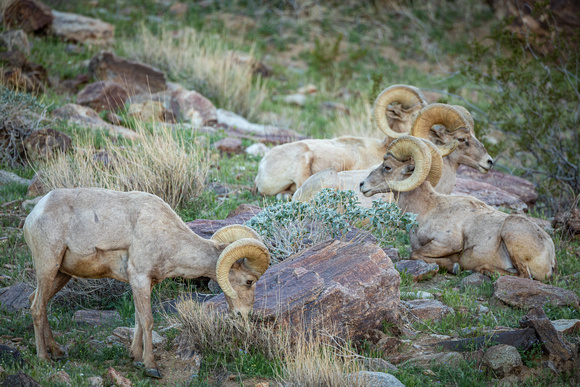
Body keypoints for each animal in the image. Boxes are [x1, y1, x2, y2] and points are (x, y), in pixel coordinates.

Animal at [21, 189, 268, 380]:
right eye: (249, 281)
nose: (243, 315)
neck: (169, 239)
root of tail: (34, 214)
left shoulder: (144, 283)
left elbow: (139, 319)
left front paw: (136, 357)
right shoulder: (139, 278)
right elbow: (148, 320)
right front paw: (151, 367)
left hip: (61, 274)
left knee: (38, 302)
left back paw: (57, 351)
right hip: (48, 268)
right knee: (36, 307)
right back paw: (44, 359)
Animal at [360, 138, 556, 280]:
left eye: (387, 167)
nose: (362, 185)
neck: (428, 210)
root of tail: (551, 255)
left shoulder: (447, 243)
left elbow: (414, 253)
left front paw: (455, 266)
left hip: (511, 232)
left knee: (524, 276)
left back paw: (482, 270)